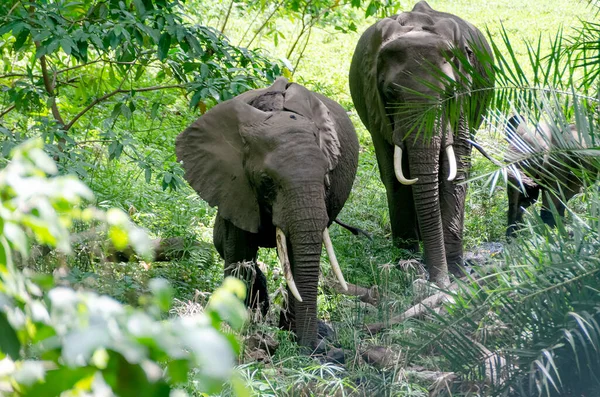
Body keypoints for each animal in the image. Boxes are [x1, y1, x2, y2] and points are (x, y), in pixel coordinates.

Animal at [176, 76, 358, 346]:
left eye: (327, 179)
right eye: (267, 181)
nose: (310, 349)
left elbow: (295, 255)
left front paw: (293, 335)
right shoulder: (233, 184)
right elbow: (239, 251)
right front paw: (237, 330)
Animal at [350, 0, 494, 284]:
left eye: (449, 93)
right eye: (391, 93)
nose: (440, 281)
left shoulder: (464, 92)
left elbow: (457, 169)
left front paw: (455, 272)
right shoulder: (375, 104)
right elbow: (393, 173)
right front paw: (407, 265)